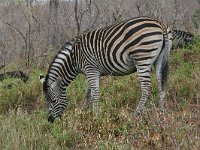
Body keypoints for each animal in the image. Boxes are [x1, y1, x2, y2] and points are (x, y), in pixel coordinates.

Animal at [40, 16, 172, 123]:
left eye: (53, 101)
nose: (50, 120)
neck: (74, 58)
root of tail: (159, 22)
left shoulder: (91, 70)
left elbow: (94, 94)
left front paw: (95, 117)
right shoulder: (94, 72)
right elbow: (88, 93)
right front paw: (84, 112)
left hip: (142, 59)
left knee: (146, 88)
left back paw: (136, 113)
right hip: (160, 59)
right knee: (161, 83)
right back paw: (161, 111)